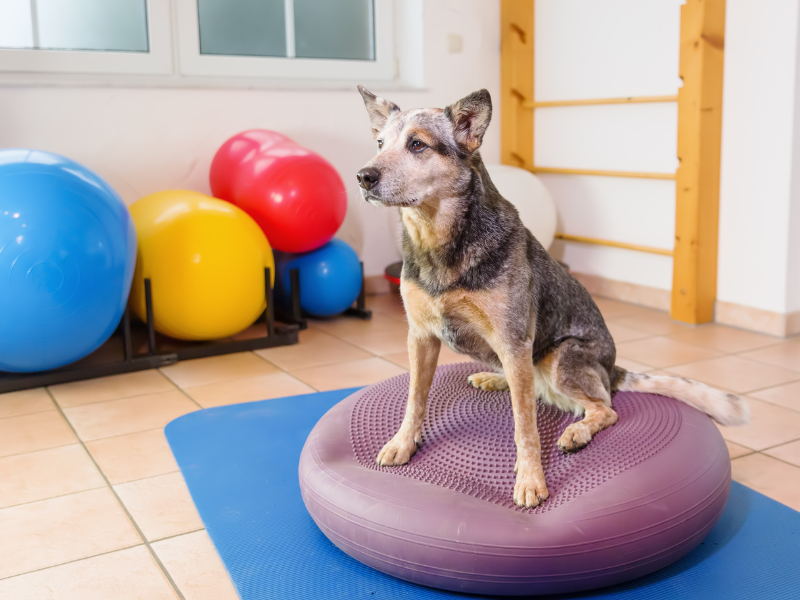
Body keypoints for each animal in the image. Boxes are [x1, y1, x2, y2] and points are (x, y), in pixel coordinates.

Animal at [356, 84, 752, 506]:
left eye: (417, 144)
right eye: (379, 143)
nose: (363, 176)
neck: (438, 242)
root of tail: (612, 369)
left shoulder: (513, 339)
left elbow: (525, 425)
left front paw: (531, 477)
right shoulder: (421, 337)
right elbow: (414, 400)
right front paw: (403, 443)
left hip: (560, 357)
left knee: (603, 406)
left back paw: (576, 430)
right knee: (537, 387)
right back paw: (497, 378)